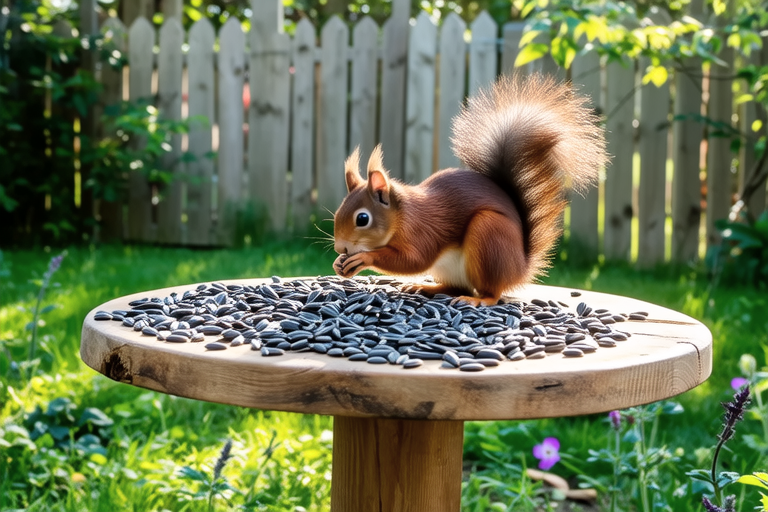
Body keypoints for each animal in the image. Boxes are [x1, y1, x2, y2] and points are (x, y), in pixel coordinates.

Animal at [332, 73, 608, 306]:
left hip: (489, 235)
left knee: (491, 292)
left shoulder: (423, 231)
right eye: (337, 213)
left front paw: (364, 258)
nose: (340, 249)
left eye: (362, 219)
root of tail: (520, 268)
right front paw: (338, 263)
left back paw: (478, 300)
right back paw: (426, 287)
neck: (402, 217)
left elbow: (414, 260)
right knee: (456, 287)